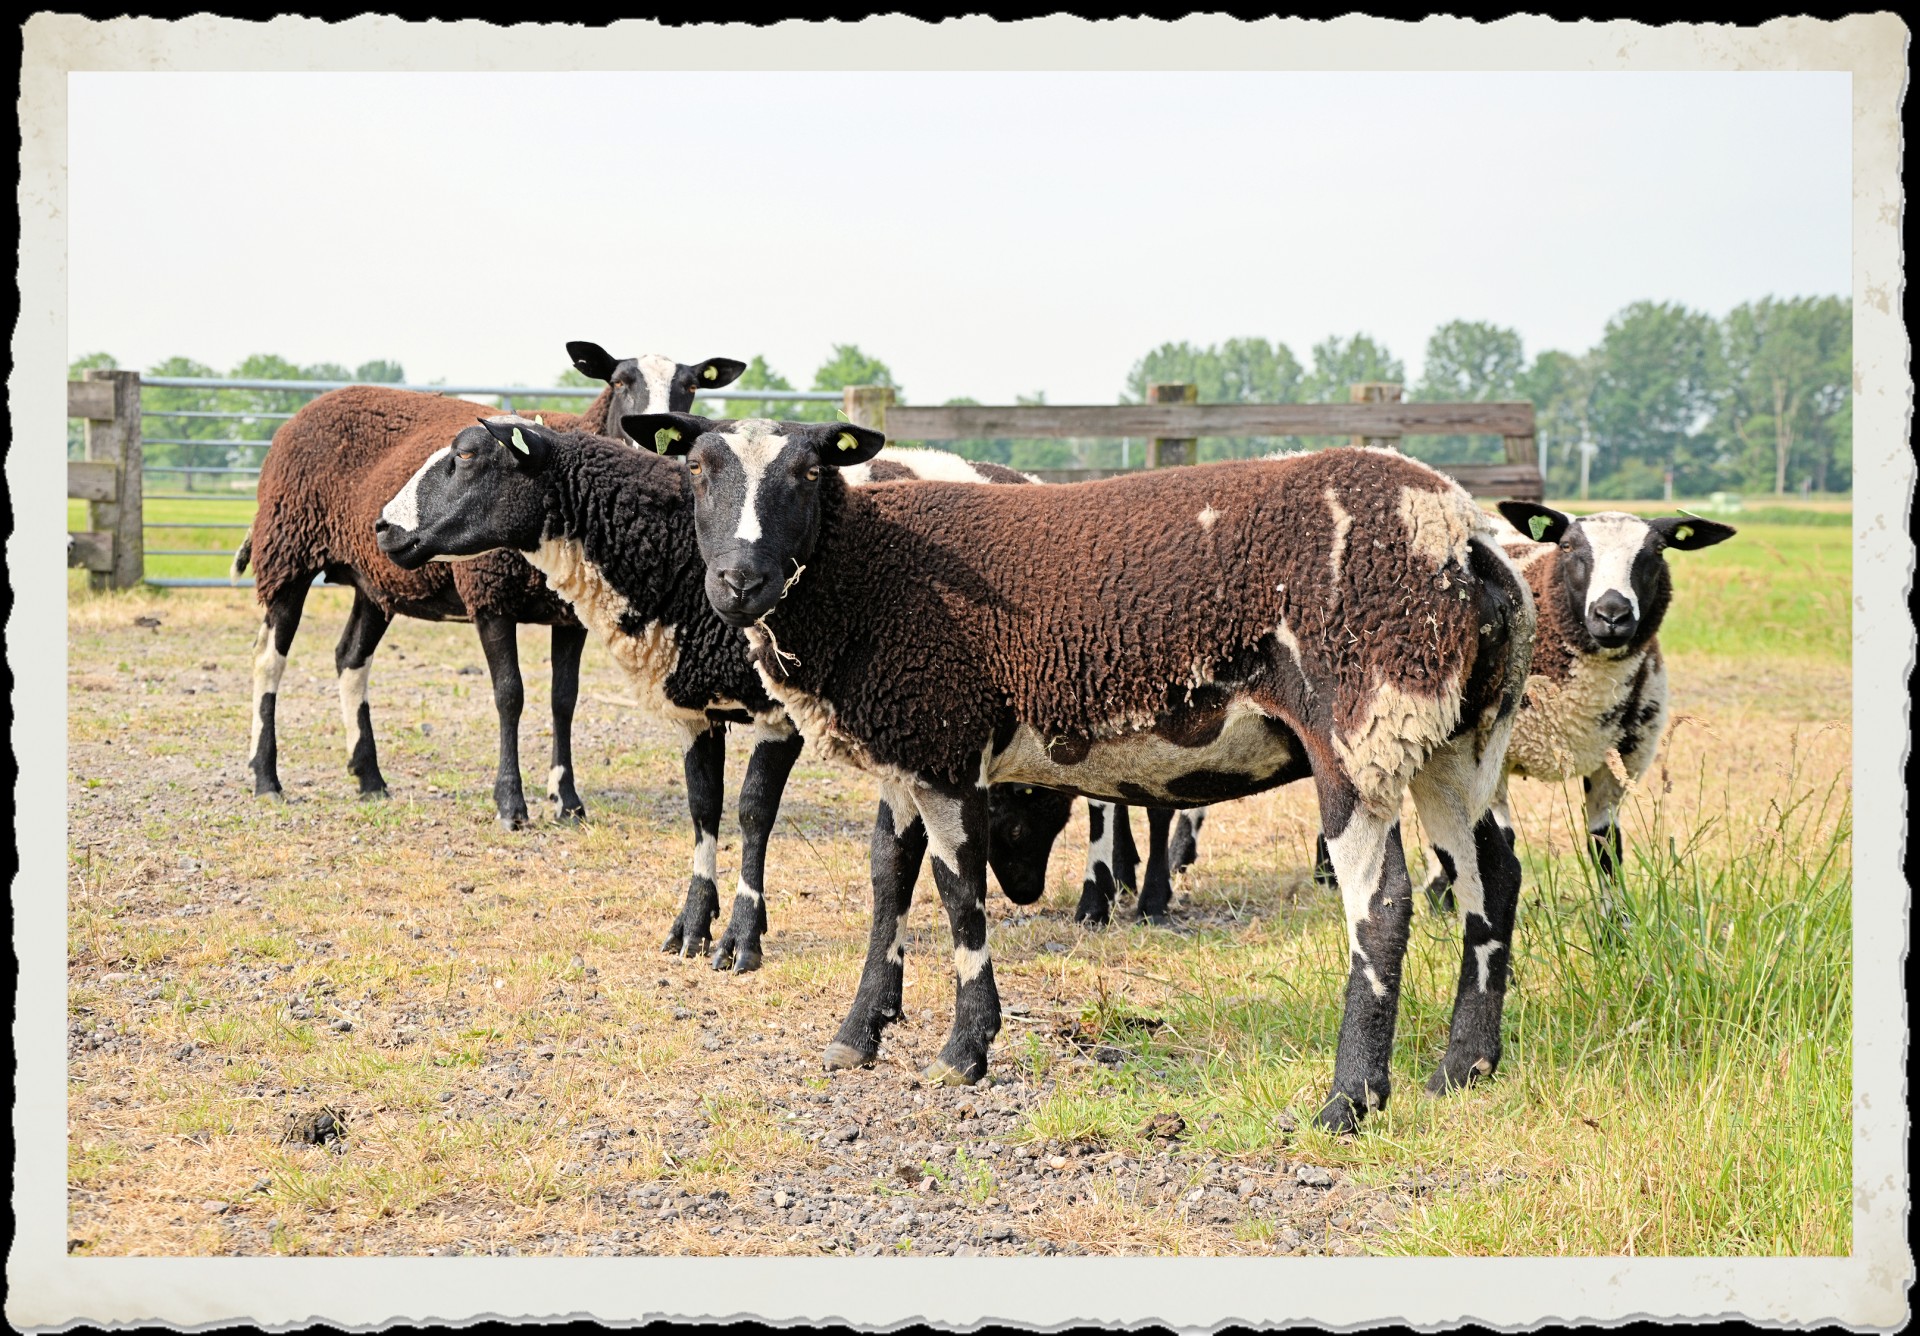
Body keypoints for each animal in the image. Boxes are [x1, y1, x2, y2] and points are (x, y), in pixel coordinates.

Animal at [232, 335, 741, 825]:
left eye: (690, 387)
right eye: (618, 382)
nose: (654, 448)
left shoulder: (571, 615)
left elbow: (564, 699)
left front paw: (567, 801)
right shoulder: (489, 598)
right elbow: (509, 696)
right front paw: (511, 804)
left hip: (373, 581)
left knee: (350, 659)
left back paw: (369, 778)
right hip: (287, 551)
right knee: (268, 659)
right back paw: (266, 778)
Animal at [366, 414, 1121, 971]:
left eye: (467, 457)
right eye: (698, 468)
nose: (382, 527)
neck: (669, 556)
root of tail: (1022, 476)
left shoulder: (777, 712)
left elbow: (754, 814)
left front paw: (740, 939)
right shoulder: (696, 709)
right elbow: (704, 810)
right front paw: (690, 929)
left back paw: (1107, 900)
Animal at [622, 412, 1551, 1128]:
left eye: (809, 473)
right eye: (697, 471)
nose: (738, 582)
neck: (865, 573)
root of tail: (1463, 534)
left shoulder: (948, 741)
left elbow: (959, 891)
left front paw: (965, 1050)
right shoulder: (911, 740)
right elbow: (889, 876)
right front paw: (860, 1033)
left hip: (1362, 721)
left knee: (1383, 902)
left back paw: (1350, 1100)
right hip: (1458, 737)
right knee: (1493, 876)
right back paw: (1465, 1069)